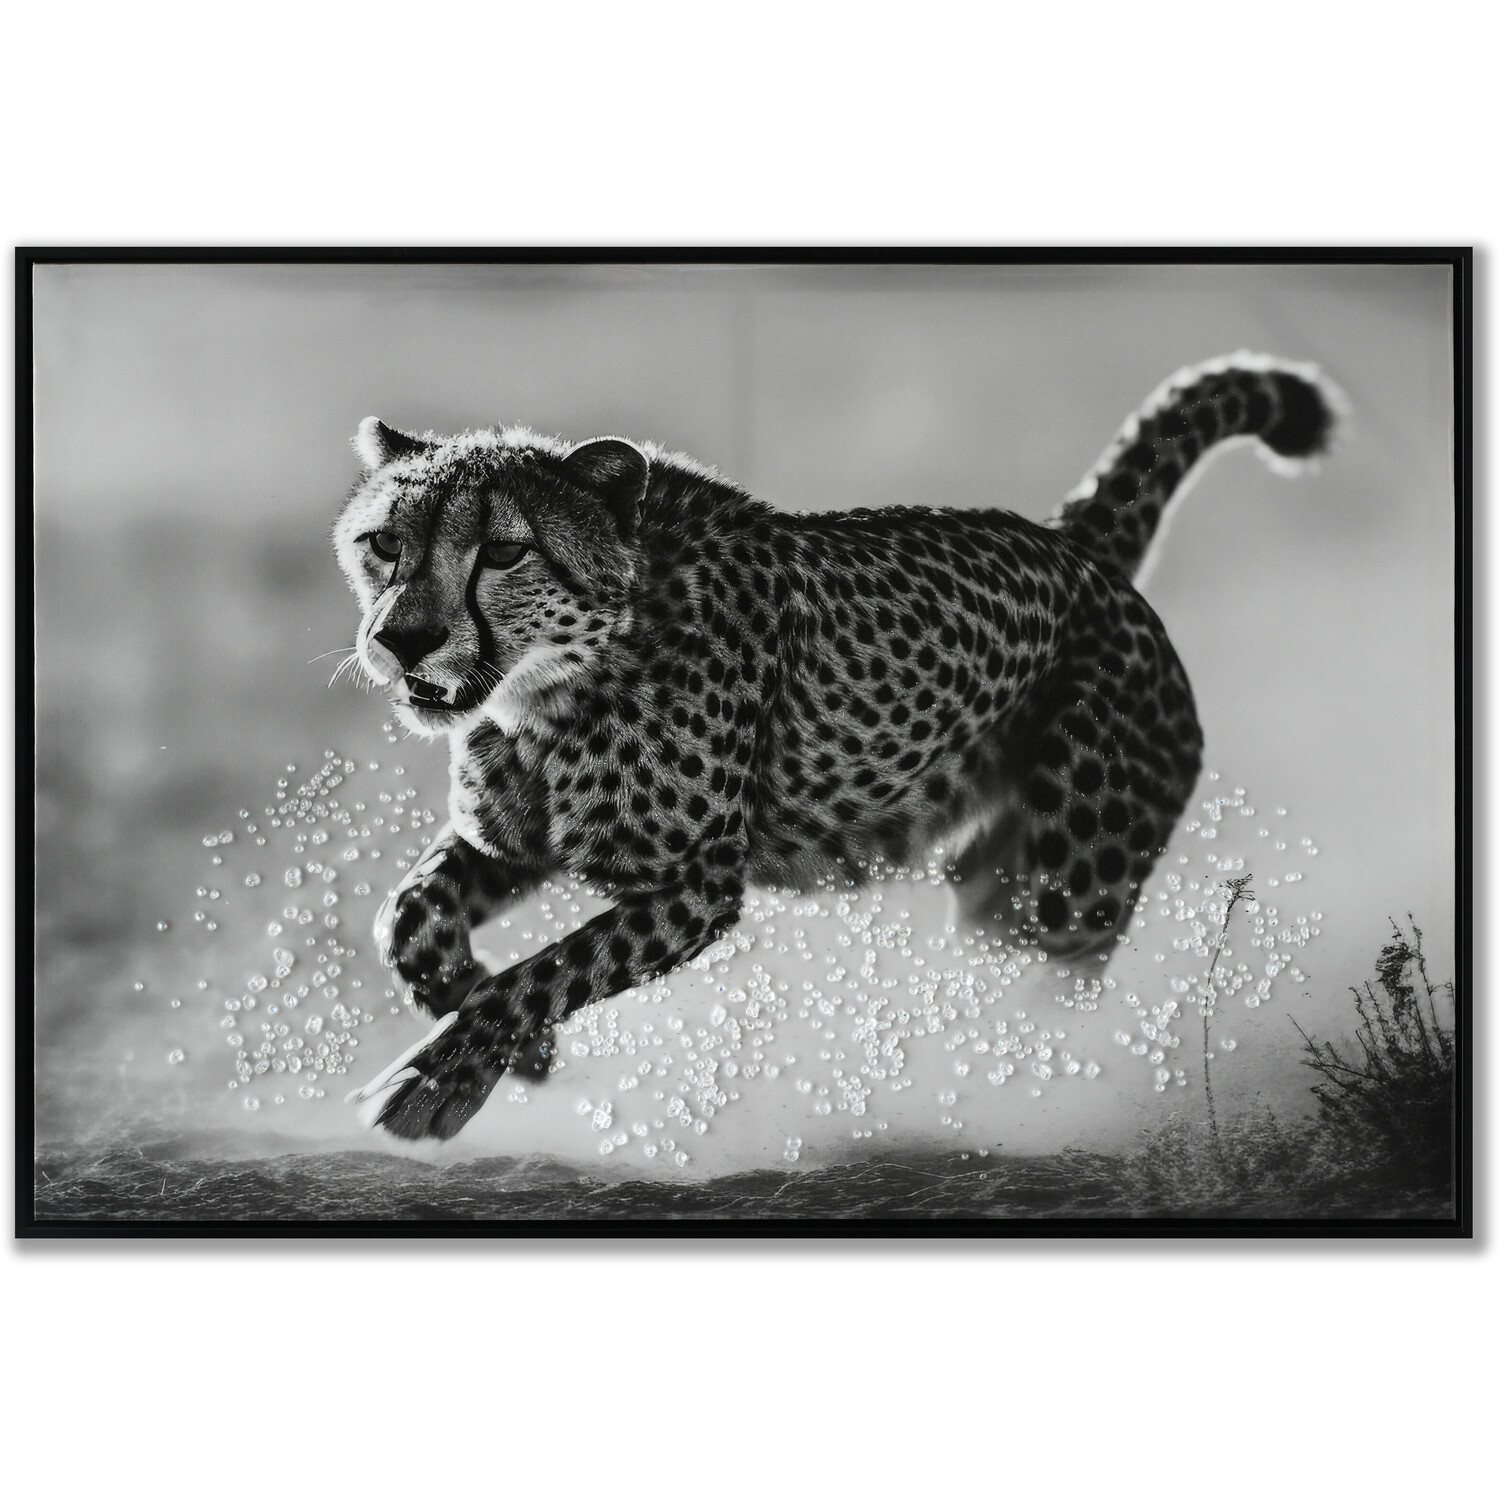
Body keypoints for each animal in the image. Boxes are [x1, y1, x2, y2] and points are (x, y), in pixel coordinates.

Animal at [334, 352, 1340, 1141]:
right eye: (383, 544)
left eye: (503, 552)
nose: (404, 640)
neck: (548, 692)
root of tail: (1070, 546)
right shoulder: (514, 843)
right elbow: (407, 918)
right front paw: (519, 1049)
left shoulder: (697, 886)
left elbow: (539, 974)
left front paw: (441, 1076)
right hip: (997, 894)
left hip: (1075, 889)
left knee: (1064, 998)